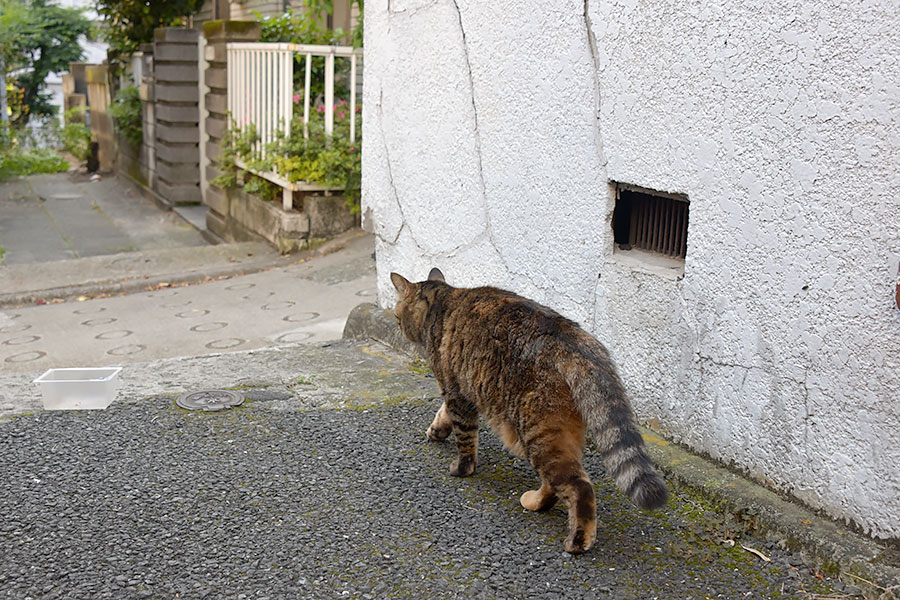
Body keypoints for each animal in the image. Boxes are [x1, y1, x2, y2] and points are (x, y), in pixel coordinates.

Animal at [388, 270, 668, 556]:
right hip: (556, 433)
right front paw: (437, 430)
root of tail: (574, 340)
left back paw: (578, 540)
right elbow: (444, 413)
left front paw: (462, 468)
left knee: (578, 486)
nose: (397, 325)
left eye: (398, 315)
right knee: (555, 484)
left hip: (536, 431)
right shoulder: (460, 389)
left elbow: (464, 437)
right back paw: (535, 502)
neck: (442, 301)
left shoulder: (456, 392)